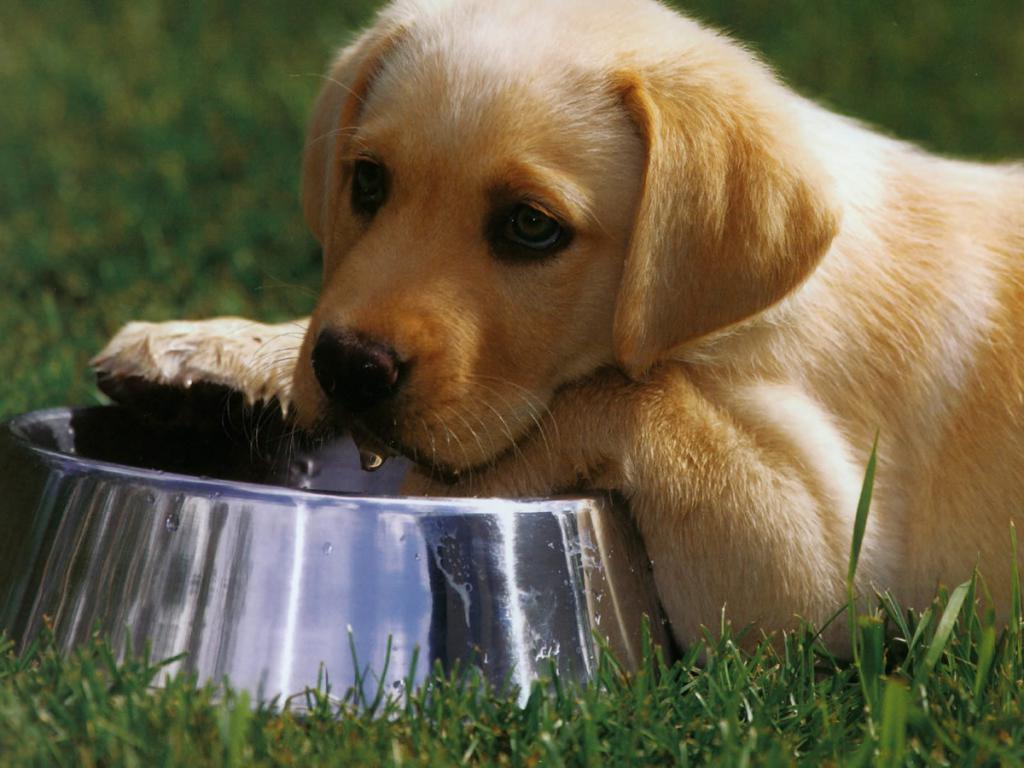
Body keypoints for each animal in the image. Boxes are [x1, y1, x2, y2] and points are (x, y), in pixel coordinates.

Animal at [90, 0, 1024, 655]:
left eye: (531, 228)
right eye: (367, 183)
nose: (353, 368)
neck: (725, 326)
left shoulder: (825, 578)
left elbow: (635, 397)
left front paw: (461, 486)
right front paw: (216, 350)